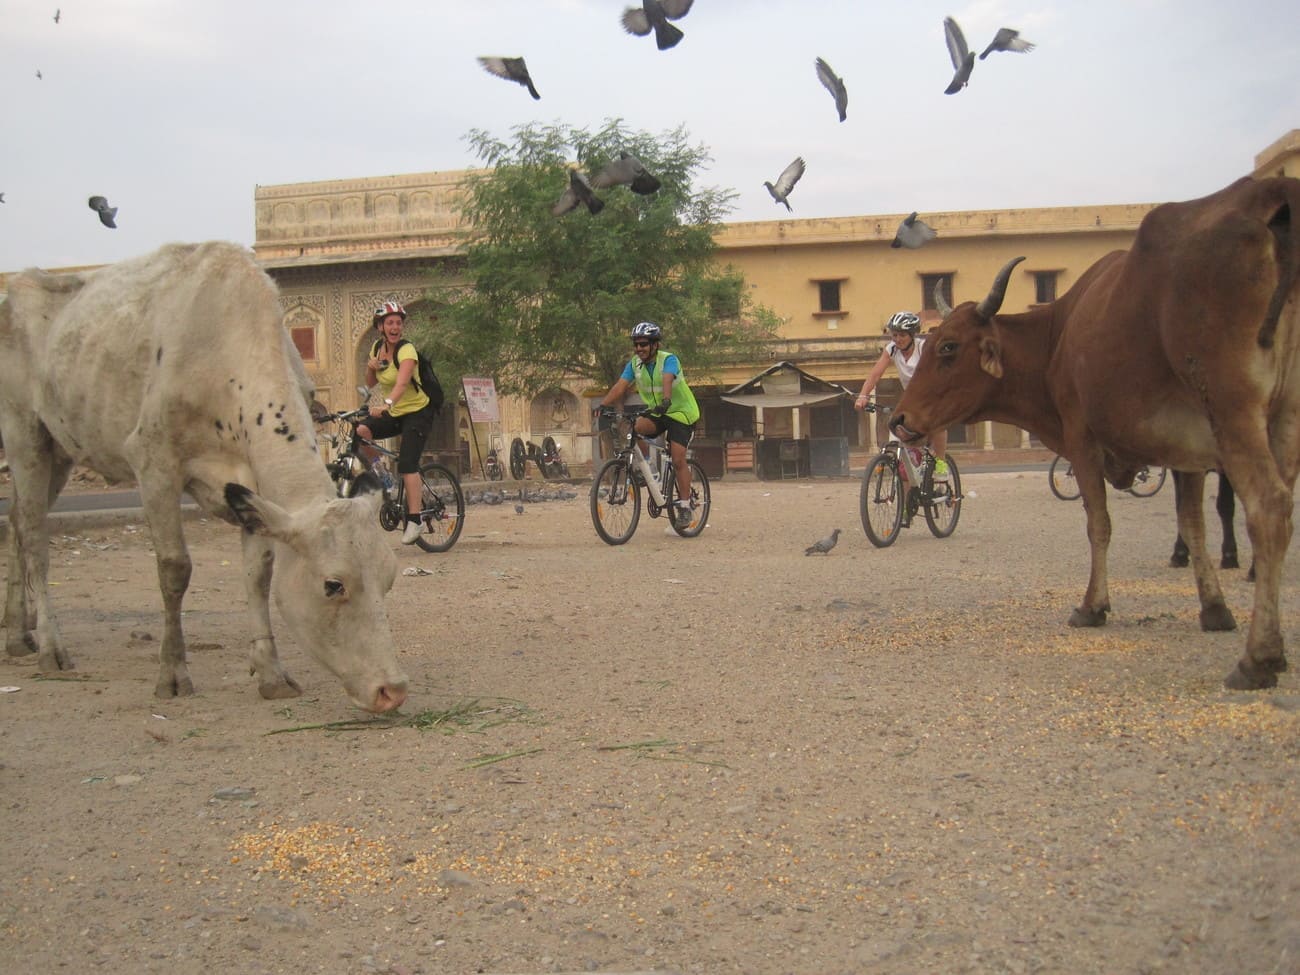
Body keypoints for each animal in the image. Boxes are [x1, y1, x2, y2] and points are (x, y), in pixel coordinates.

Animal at [1, 243, 405, 717]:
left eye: (389, 578)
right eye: (333, 585)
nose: (392, 689)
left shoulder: (252, 489)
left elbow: (259, 574)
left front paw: (271, 673)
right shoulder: (154, 463)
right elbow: (175, 568)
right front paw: (172, 673)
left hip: (61, 450)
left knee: (16, 523)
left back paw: (18, 633)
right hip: (24, 433)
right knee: (35, 537)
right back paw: (50, 645)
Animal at [894, 178, 1300, 696]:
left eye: (947, 347)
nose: (899, 418)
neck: (1056, 338)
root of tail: (1273, 190)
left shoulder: (1082, 439)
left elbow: (1098, 524)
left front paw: (1093, 605)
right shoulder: (1185, 449)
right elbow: (1193, 526)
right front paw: (1214, 608)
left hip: (1234, 409)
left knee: (1269, 507)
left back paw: (1259, 657)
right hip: (1284, 418)